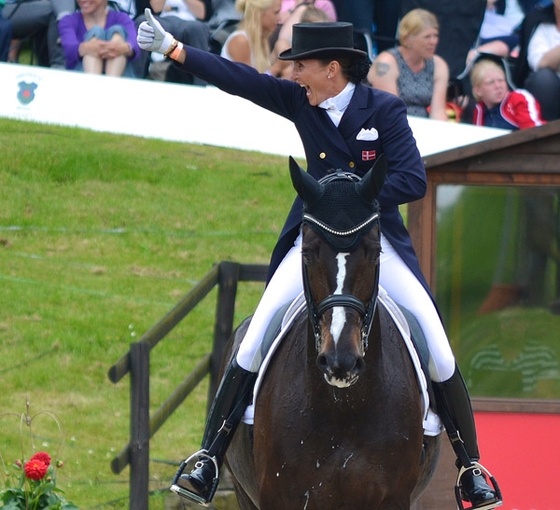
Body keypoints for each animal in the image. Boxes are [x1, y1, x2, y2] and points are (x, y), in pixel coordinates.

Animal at [221, 156, 440, 510]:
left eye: (375, 252)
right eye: (307, 252)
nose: (341, 361)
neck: (344, 409)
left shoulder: (394, 498)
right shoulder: (277, 497)